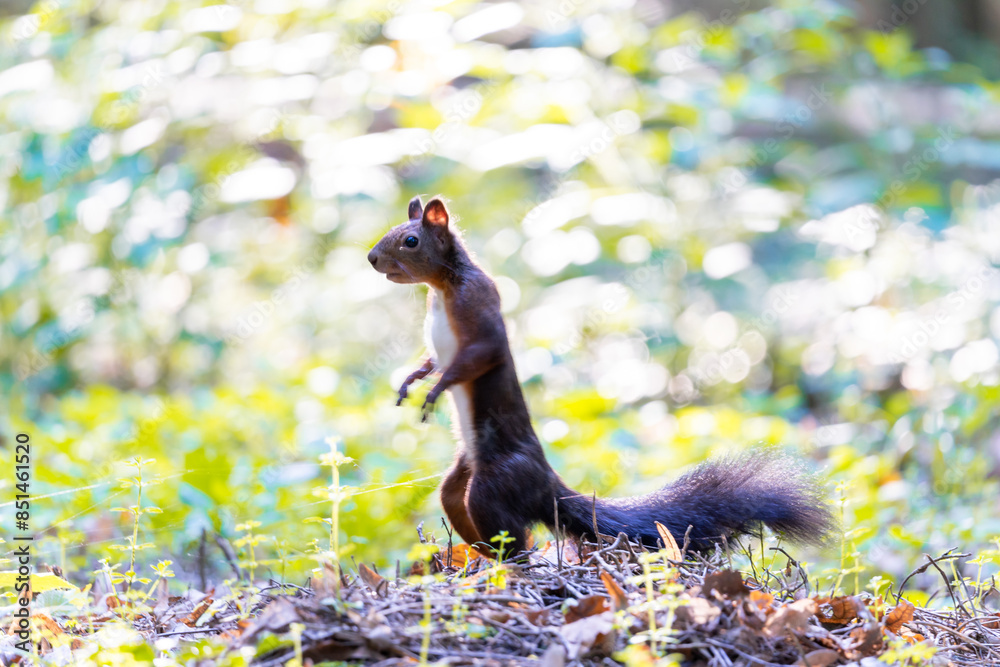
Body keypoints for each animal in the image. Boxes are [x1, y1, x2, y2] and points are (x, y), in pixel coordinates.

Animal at [367, 195, 835, 556]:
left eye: (410, 240)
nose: (372, 258)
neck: (442, 287)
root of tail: (545, 483)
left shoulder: (480, 309)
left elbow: (479, 354)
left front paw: (437, 390)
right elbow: (431, 358)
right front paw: (413, 380)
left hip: (495, 481)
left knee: (510, 533)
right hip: (465, 467)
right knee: (455, 500)